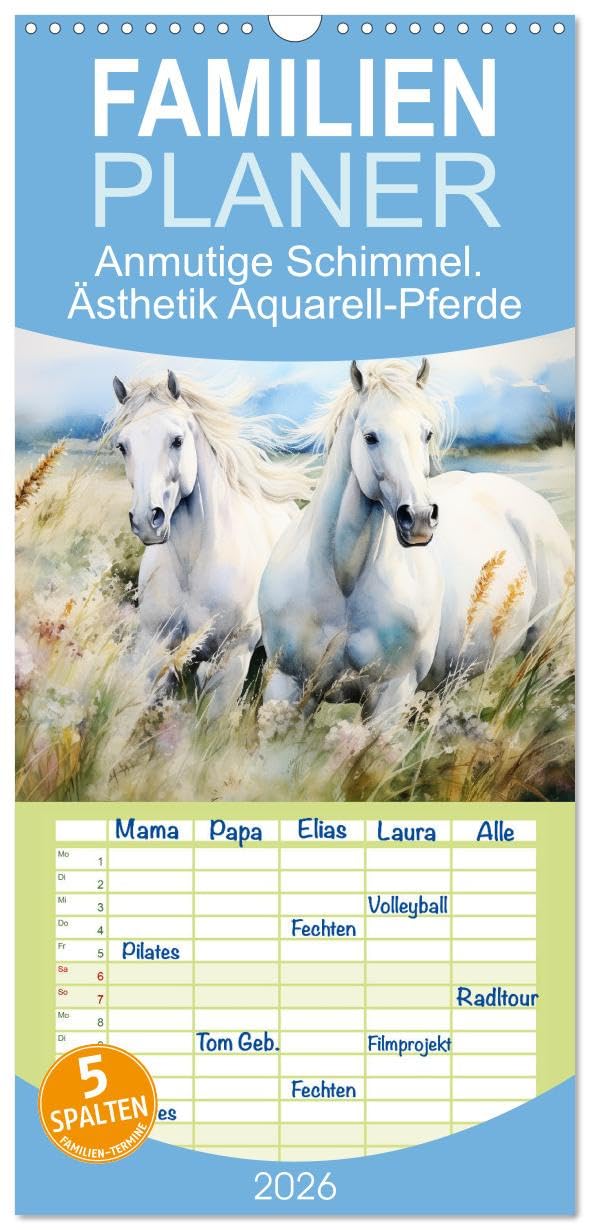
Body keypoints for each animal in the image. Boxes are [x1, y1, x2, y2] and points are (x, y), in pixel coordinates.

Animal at [110, 369, 312, 718]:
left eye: (177, 440)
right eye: (123, 445)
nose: (147, 520)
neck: (193, 564)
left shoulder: (233, 658)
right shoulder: (154, 646)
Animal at [259, 358, 573, 718]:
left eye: (427, 434)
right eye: (370, 437)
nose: (420, 518)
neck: (343, 581)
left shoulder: (391, 694)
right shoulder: (287, 687)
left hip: (546, 651)